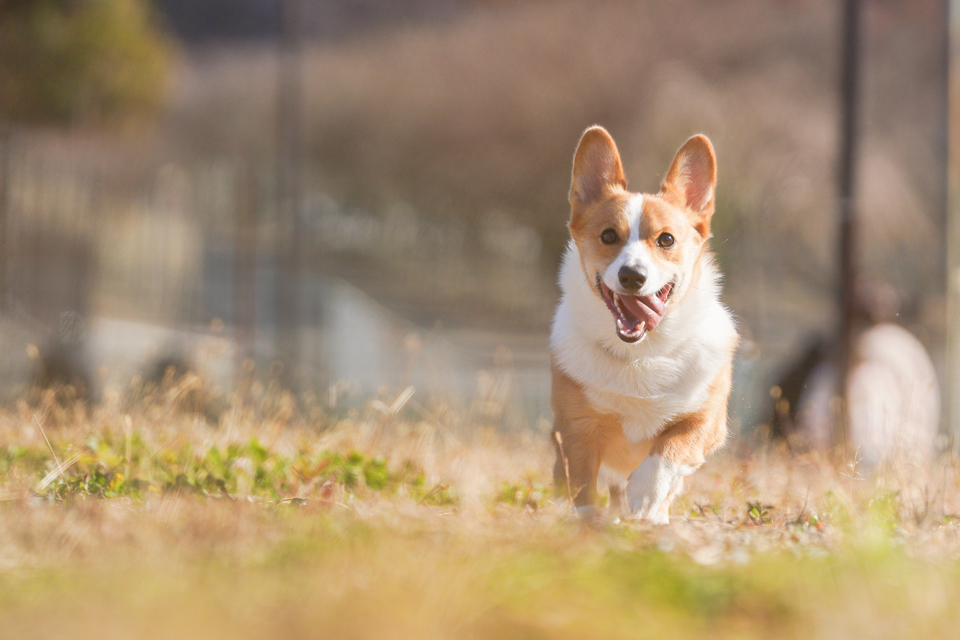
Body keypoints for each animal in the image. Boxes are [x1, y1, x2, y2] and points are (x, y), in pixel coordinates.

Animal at [548, 126, 736, 524]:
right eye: (608, 236)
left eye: (666, 239)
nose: (632, 276)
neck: (641, 354)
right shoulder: (575, 427)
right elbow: (582, 481)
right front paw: (586, 519)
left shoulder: (707, 420)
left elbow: (671, 448)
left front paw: (646, 494)